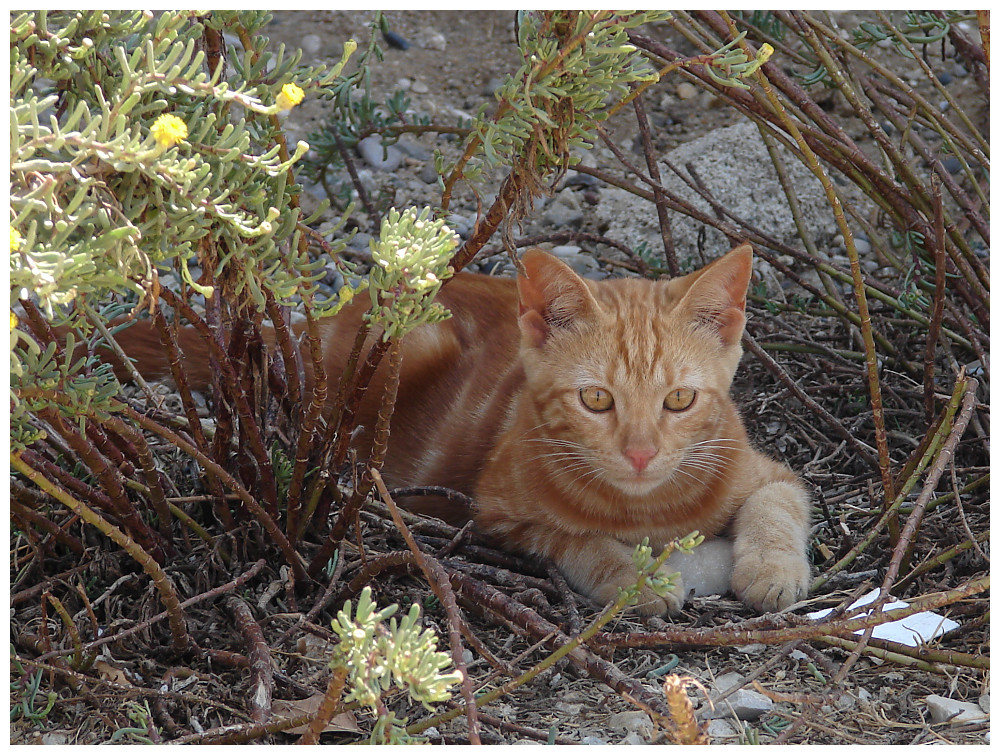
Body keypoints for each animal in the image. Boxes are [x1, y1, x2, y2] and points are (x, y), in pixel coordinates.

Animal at [90, 245, 812, 616]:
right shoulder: (498, 514)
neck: (647, 505)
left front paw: (772, 570)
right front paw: (636, 578)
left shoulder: (768, 469)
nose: (639, 453)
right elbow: (579, 542)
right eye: (597, 399)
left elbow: (778, 503)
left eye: (681, 400)